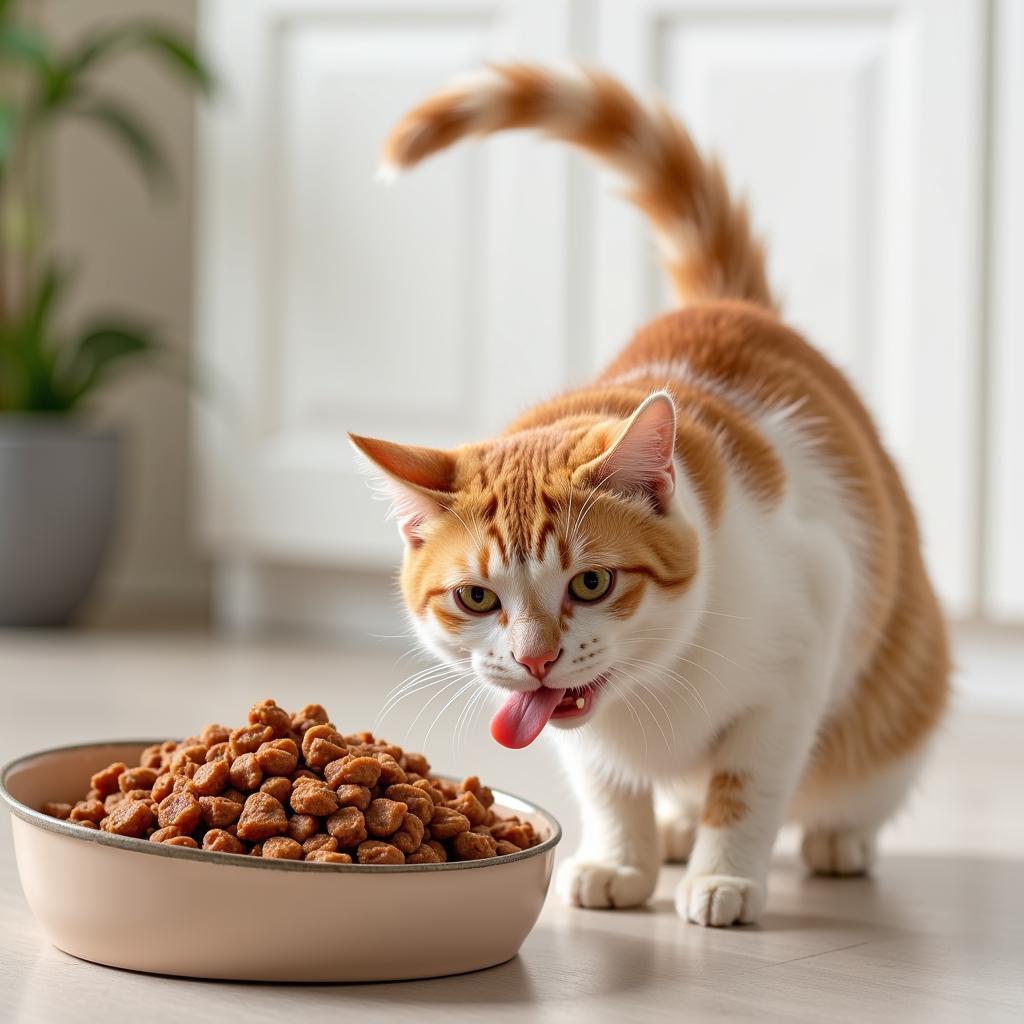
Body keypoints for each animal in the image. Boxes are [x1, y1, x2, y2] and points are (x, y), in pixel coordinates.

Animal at [350, 64, 942, 929]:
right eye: (476, 597)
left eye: (592, 582)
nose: (536, 659)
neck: (652, 691)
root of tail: (731, 306)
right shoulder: (582, 736)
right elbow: (609, 786)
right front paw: (620, 860)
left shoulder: (799, 652)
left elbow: (748, 785)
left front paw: (725, 877)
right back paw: (670, 829)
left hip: (893, 698)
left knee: (856, 779)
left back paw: (836, 838)